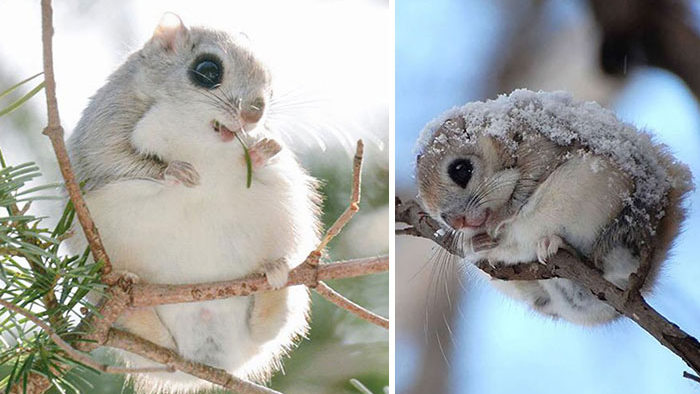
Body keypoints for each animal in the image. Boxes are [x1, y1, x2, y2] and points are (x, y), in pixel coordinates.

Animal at [416, 90, 696, 326]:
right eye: (437, 214)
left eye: (461, 170)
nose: (456, 222)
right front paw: (473, 243)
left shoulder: (539, 148)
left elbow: (525, 188)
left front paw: (499, 220)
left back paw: (556, 244)